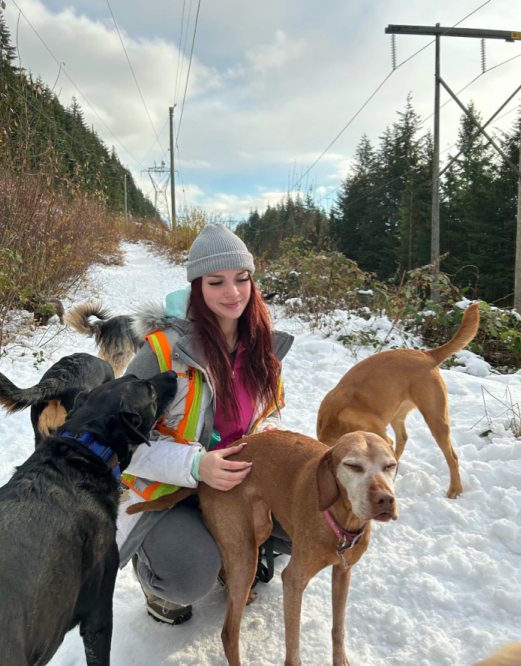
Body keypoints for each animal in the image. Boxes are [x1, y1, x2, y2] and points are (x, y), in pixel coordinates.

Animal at [128, 430, 396, 664]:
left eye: (390, 465)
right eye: (352, 465)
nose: (385, 499)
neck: (340, 522)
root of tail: (204, 478)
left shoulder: (343, 572)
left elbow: (338, 629)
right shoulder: (293, 581)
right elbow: (293, 652)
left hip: (258, 530)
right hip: (245, 553)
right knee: (228, 634)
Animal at [314, 304, 478, 496]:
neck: (337, 424)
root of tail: (427, 355)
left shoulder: (381, 437)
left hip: (436, 419)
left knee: (452, 457)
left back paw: (455, 490)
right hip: (396, 414)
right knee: (403, 438)